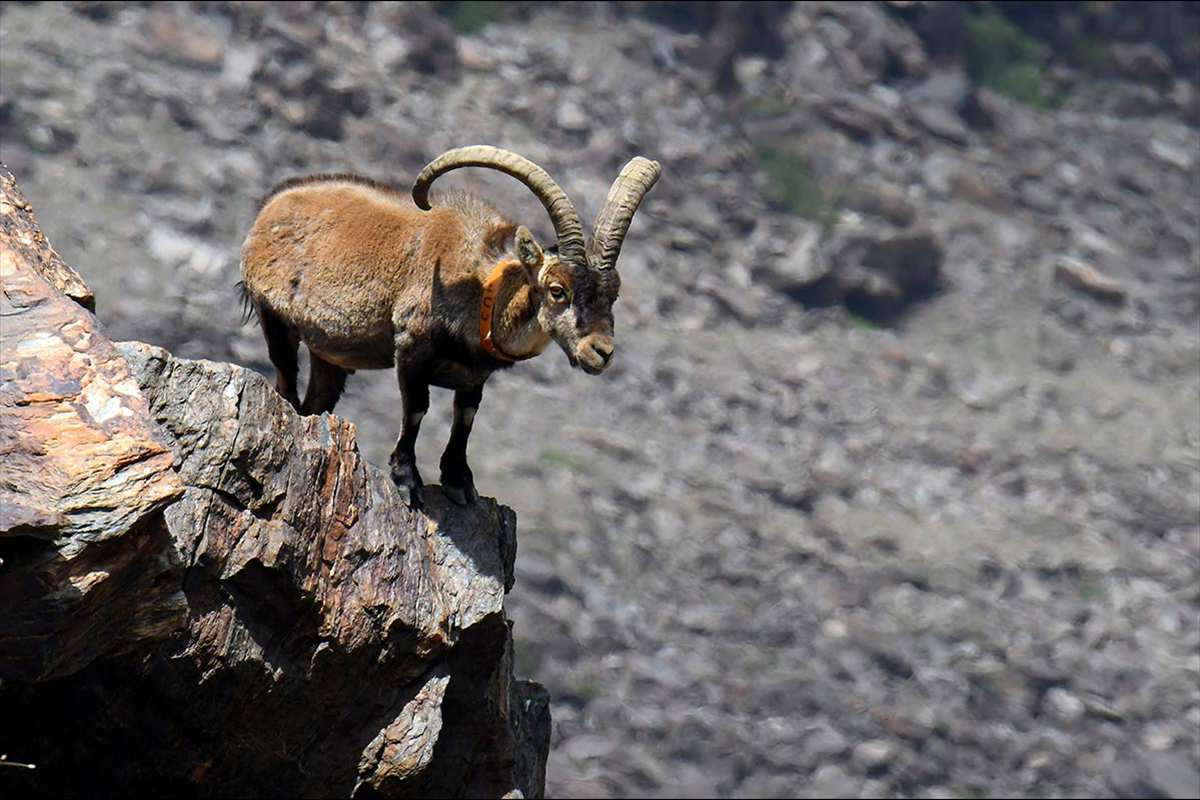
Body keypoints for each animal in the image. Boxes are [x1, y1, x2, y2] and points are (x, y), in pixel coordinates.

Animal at [240, 146, 660, 508]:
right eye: (558, 290)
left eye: (613, 294)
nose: (601, 351)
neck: (481, 292)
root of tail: (270, 206)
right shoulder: (412, 348)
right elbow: (416, 409)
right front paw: (407, 480)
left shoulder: (475, 374)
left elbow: (465, 419)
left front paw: (459, 481)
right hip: (273, 315)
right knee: (284, 376)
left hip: (330, 356)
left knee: (316, 400)